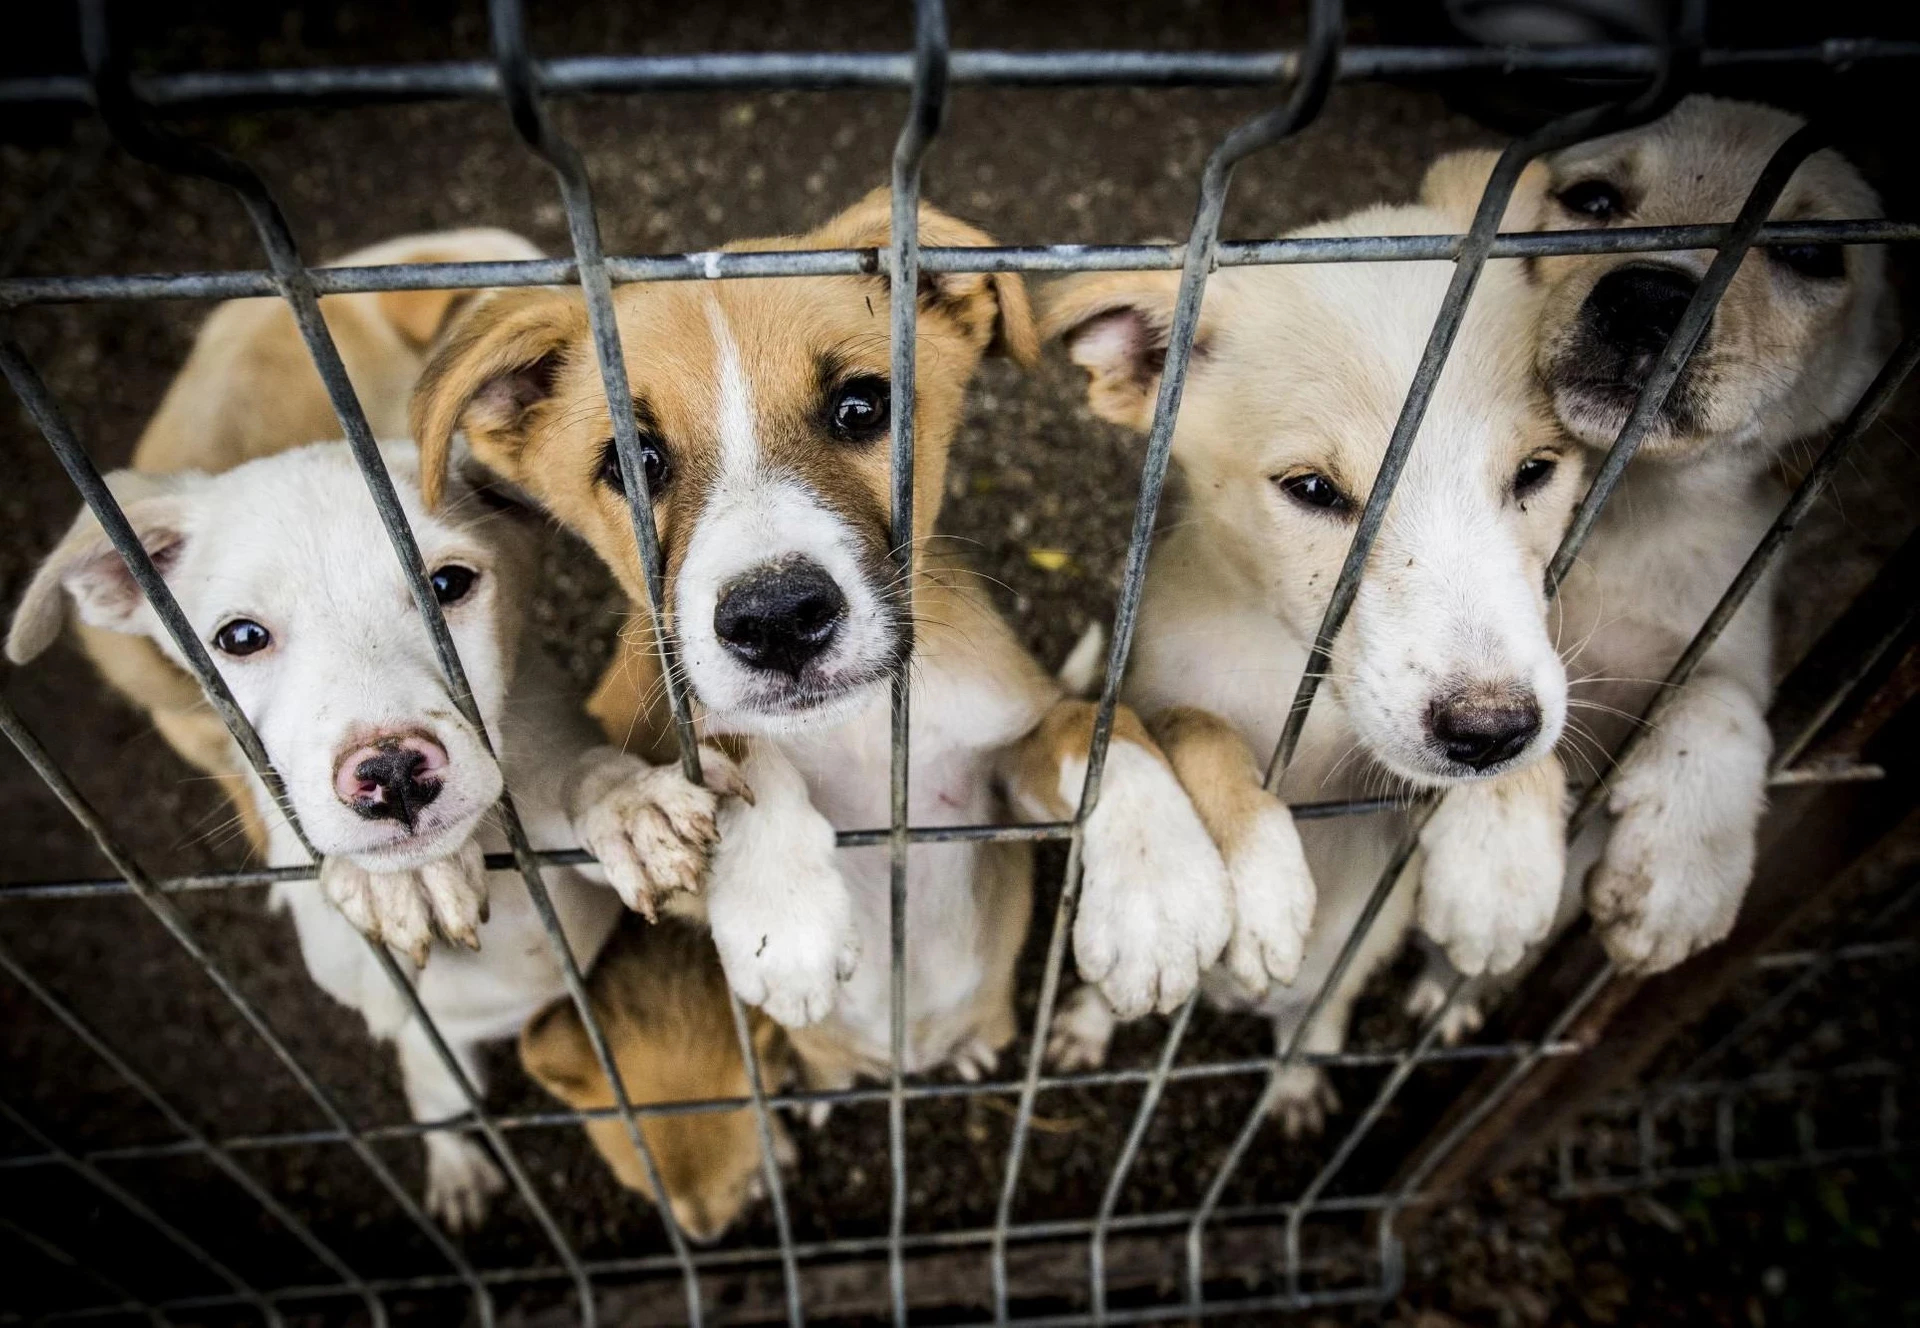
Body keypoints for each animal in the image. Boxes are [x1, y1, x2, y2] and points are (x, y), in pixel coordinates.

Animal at [407, 189, 1244, 1097]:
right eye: (631, 464)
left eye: (860, 406)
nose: (777, 620)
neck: (859, 734)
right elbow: (737, 748)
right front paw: (779, 909)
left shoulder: (1000, 780)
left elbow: (1094, 729)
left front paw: (1157, 895)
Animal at [1044, 191, 1582, 1128]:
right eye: (1311, 490)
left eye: (1537, 471)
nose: (1487, 733)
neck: (1290, 664)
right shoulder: (1152, 689)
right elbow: (1200, 730)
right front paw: (1256, 886)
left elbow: (1534, 708)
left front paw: (1501, 861)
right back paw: (1090, 1021)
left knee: (1313, 1018)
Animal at [1420, 93, 1896, 971]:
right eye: (1593, 200)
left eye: (1812, 253)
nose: (1648, 298)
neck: (1627, 511)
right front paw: (1495, 866)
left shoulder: (1727, 640)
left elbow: (1723, 702)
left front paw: (1681, 870)